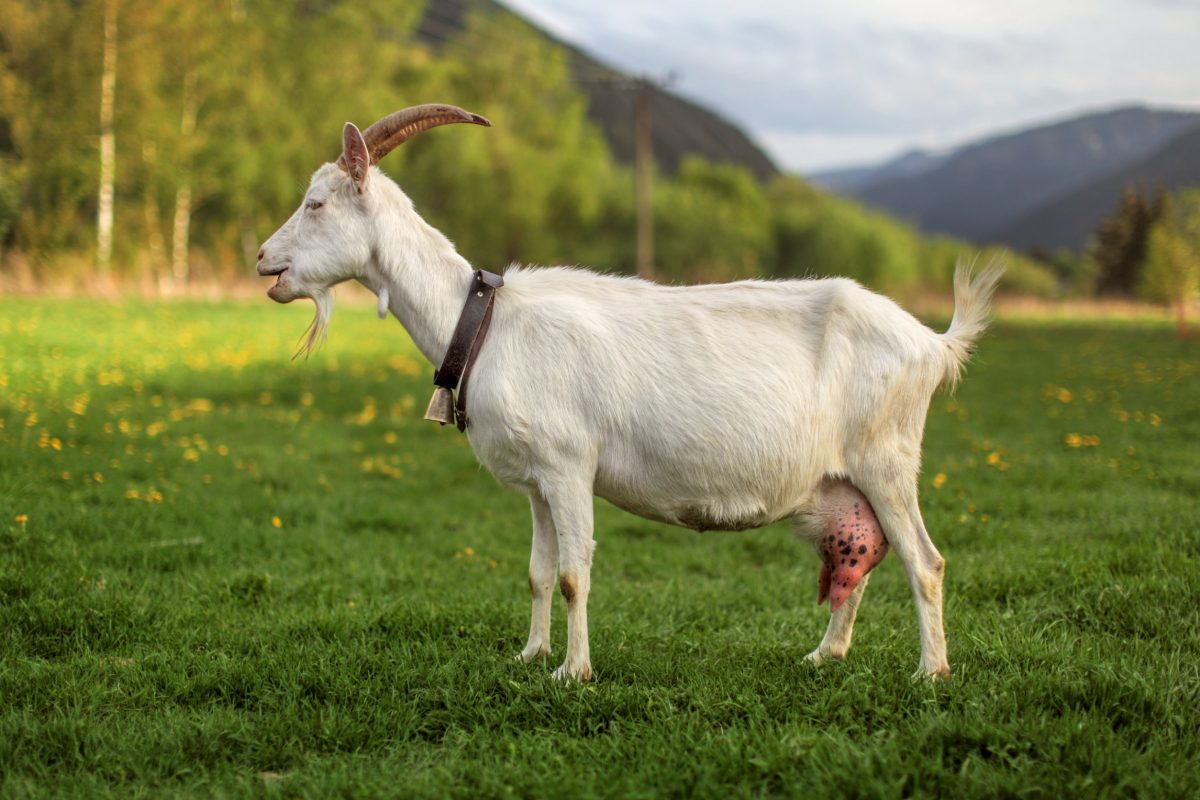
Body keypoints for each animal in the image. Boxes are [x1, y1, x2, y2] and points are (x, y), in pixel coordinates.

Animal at [257, 104, 1002, 681]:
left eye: (316, 204)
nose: (263, 260)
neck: (484, 322)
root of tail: (932, 343)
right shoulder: (536, 482)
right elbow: (537, 571)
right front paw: (530, 656)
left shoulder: (568, 466)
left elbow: (573, 573)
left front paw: (574, 672)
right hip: (844, 483)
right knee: (860, 559)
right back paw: (826, 656)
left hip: (887, 459)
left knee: (925, 562)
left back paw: (931, 672)